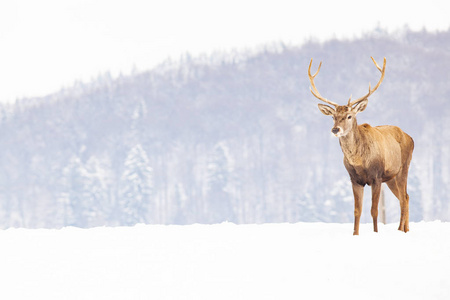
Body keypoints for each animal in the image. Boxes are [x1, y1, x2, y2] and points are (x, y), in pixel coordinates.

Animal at [308, 56, 414, 234]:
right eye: (333, 117)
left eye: (349, 116)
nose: (335, 129)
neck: (359, 161)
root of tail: (410, 137)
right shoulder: (354, 179)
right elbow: (357, 210)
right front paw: (355, 234)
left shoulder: (376, 177)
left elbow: (374, 210)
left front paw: (375, 233)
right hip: (390, 177)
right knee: (404, 197)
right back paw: (404, 229)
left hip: (403, 167)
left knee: (404, 197)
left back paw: (401, 230)